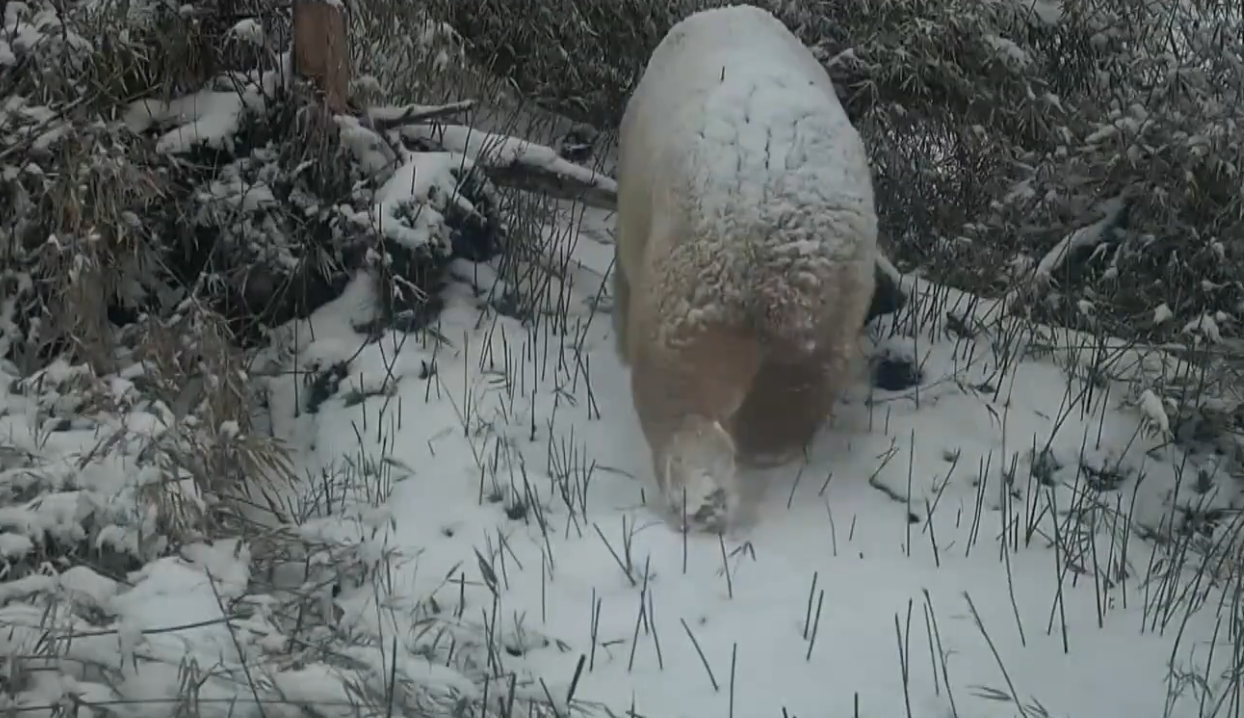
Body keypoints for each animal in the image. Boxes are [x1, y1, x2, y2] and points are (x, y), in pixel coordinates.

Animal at [612, 3, 879, 534]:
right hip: (831, 311)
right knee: (792, 394)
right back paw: (752, 458)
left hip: (695, 274)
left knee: (677, 384)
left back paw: (701, 497)